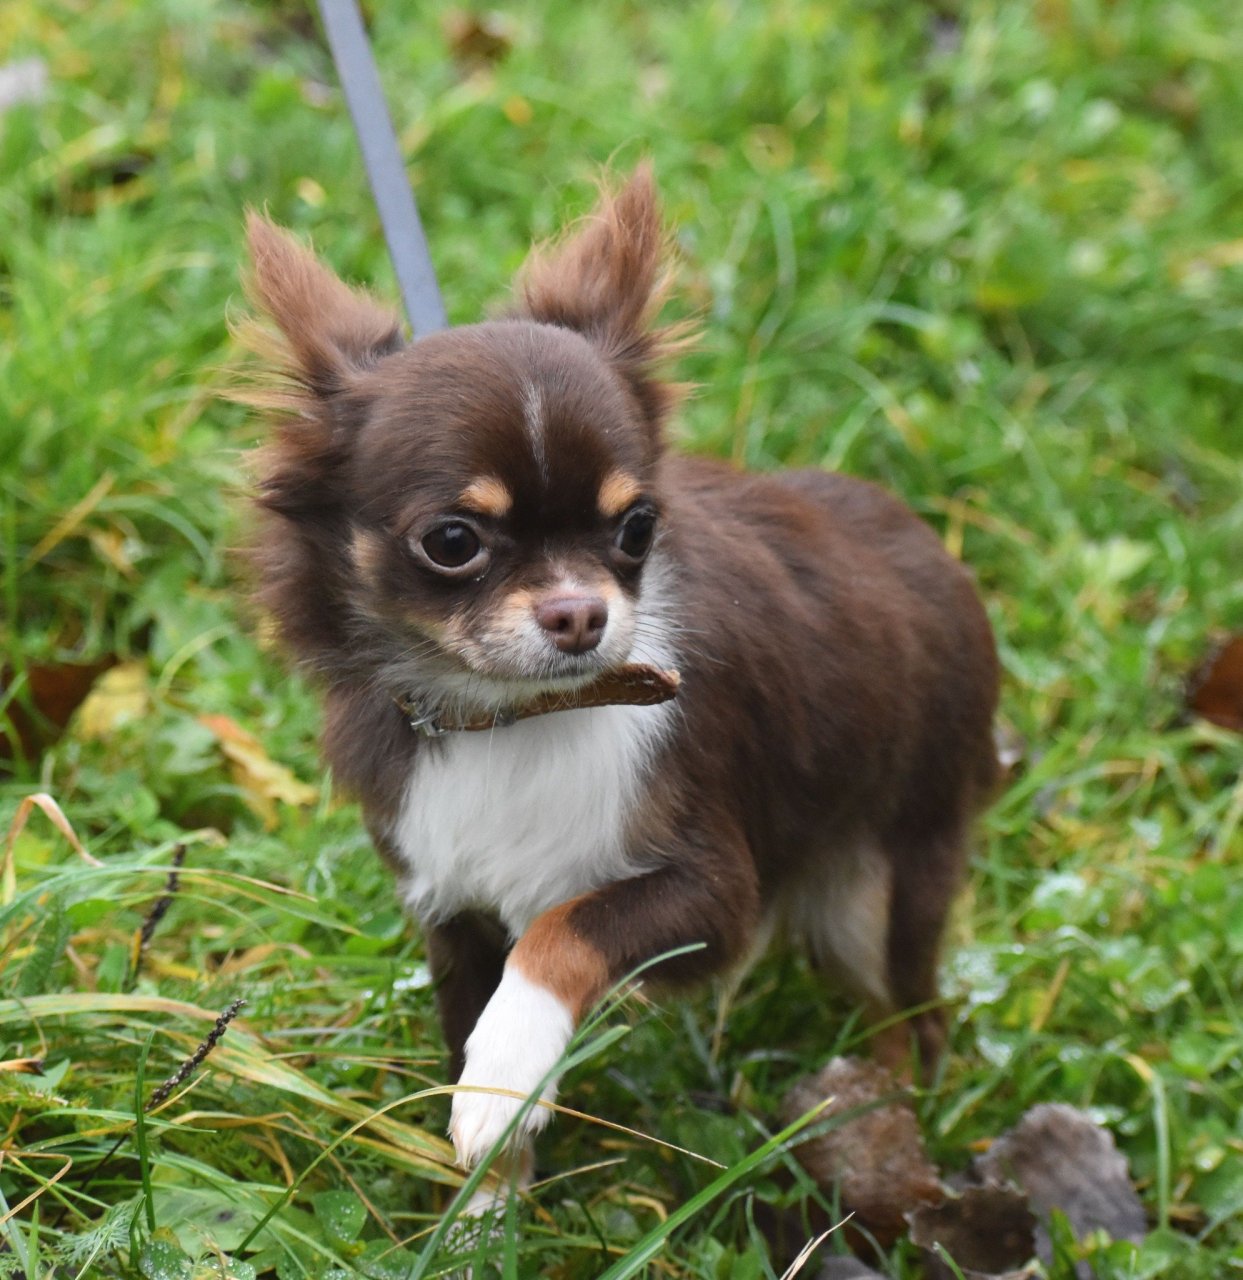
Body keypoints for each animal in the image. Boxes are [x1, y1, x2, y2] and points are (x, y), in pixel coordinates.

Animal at [238, 167, 1000, 1175]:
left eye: (637, 527)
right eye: (452, 542)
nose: (580, 614)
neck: (515, 718)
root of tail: (937, 555)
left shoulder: (713, 899)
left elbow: (562, 929)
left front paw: (507, 1072)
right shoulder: (451, 912)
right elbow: (478, 1069)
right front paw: (488, 1190)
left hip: (877, 888)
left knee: (911, 1017)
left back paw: (887, 1122)